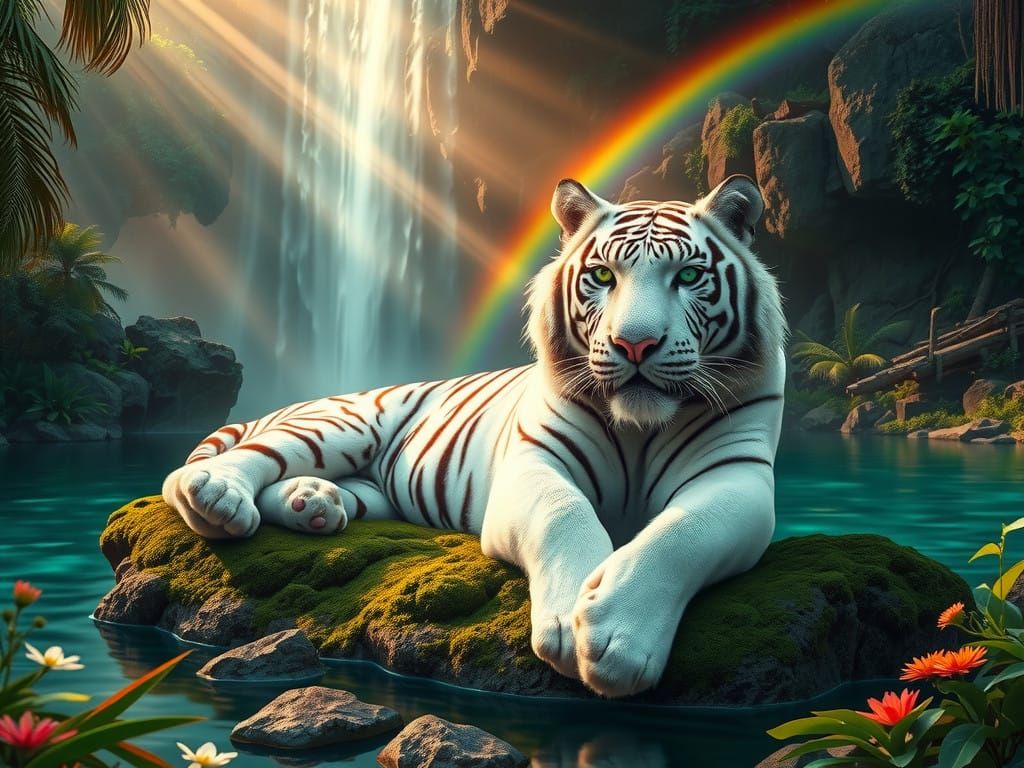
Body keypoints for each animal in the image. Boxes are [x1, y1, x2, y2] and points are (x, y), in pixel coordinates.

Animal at [162, 174, 786, 699]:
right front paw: (569, 621)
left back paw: (312, 505)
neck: (639, 426)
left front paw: (617, 636)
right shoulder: (533, 463)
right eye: (604, 276)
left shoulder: (736, 479)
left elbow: (681, 534)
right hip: (341, 425)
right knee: (229, 463)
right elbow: (564, 511)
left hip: (371, 488)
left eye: (689, 276)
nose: (634, 344)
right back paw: (218, 496)